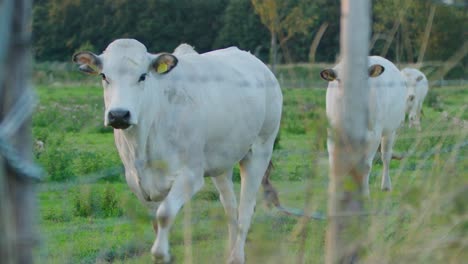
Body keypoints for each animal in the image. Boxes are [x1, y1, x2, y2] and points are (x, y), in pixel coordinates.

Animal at [73, 39, 282, 264]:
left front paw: (161, 253)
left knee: (246, 209)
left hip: (260, 149)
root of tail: (261, 66)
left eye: (143, 76)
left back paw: (237, 257)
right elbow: (155, 221)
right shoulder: (136, 181)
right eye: (104, 76)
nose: (119, 114)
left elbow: (164, 214)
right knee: (230, 207)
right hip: (222, 162)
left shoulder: (190, 174)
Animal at [320, 56, 408, 196]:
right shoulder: (334, 132)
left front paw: (364, 193)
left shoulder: (373, 134)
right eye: (339, 80)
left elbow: (365, 166)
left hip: (390, 130)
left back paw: (386, 185)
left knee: (386, 156)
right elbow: (335, 164)